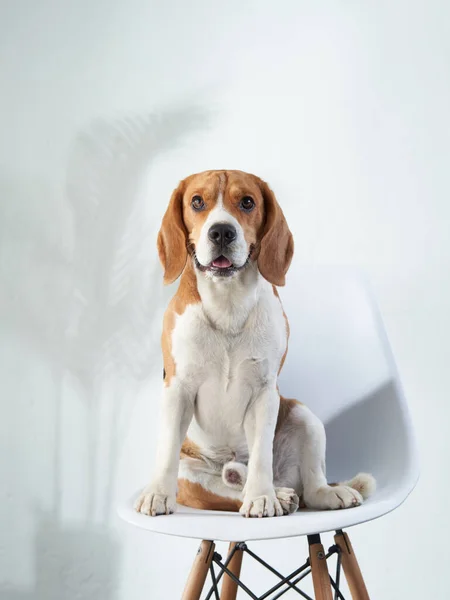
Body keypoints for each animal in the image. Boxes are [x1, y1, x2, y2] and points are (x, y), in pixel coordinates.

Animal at [134, 171, 376, 516]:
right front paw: (157, 494)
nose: (222, 231)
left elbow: (261, 454)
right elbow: (166, 450)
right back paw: (281, 496)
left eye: (247, 202)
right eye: (197, 202)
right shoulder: (177, 388)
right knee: (227, 490)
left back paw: (310, 493)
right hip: (191, 476)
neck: (228, 303)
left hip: (304, 415)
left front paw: (262, 497)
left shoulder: (264, 390)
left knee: (309, 487)